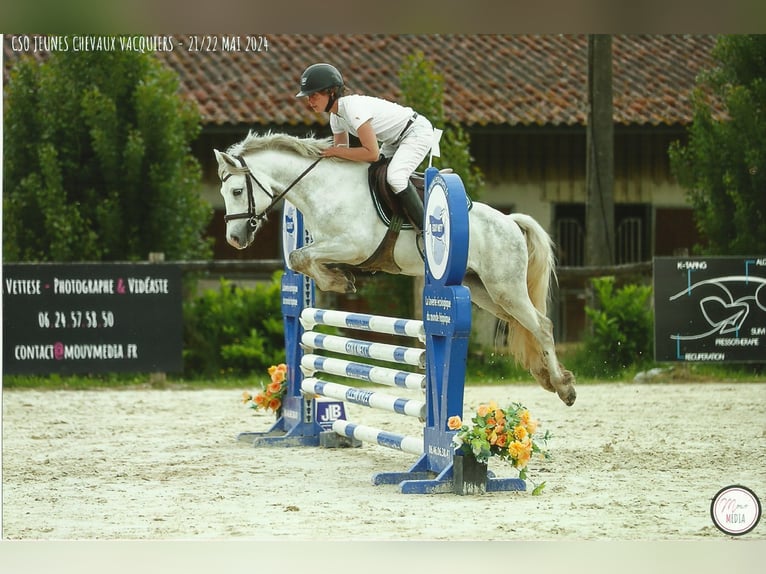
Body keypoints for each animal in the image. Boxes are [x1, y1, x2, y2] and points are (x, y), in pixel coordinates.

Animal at [216, 133, 576, 408]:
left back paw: (563, 387)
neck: (323, 188)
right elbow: (300, 258)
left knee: (541, 325)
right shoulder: (333, 246)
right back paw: (547, 377)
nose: (234, 239)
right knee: (523, 324)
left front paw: (339, 281)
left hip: (505, 288)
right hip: (484, 291)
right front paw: (340, 280)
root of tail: (511, 222)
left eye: (237, 191)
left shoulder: (352, 246)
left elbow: (300, 256)